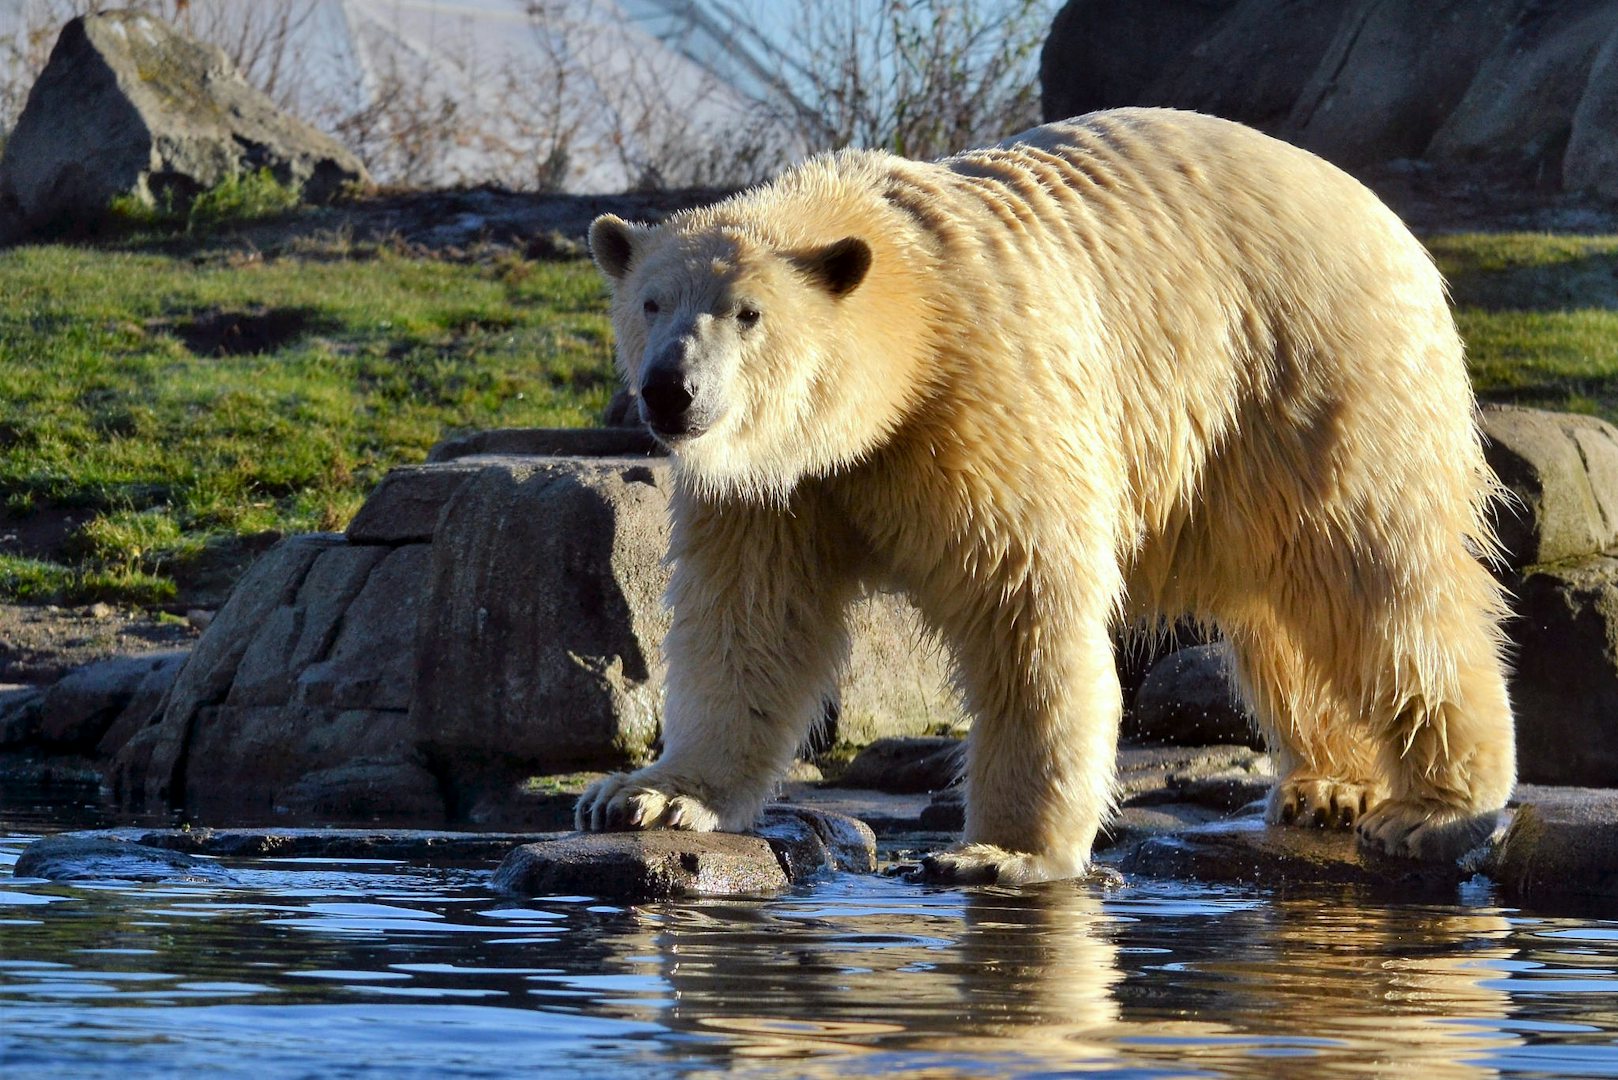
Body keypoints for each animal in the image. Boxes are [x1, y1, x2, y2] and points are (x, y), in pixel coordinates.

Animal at [572, 107, 1514, 887]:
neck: (910, 311)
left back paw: (1431, 807)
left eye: (748, 313)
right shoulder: (780, 487)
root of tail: (1379, 214)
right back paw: (1331, 784)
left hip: (1313, 368)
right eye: (650, 301)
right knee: (1293, 612)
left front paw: (1001, 851)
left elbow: (1024, 608)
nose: (670, 391)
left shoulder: (983, 399)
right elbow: (751, 622)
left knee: (1379, 576)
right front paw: (649, 795)